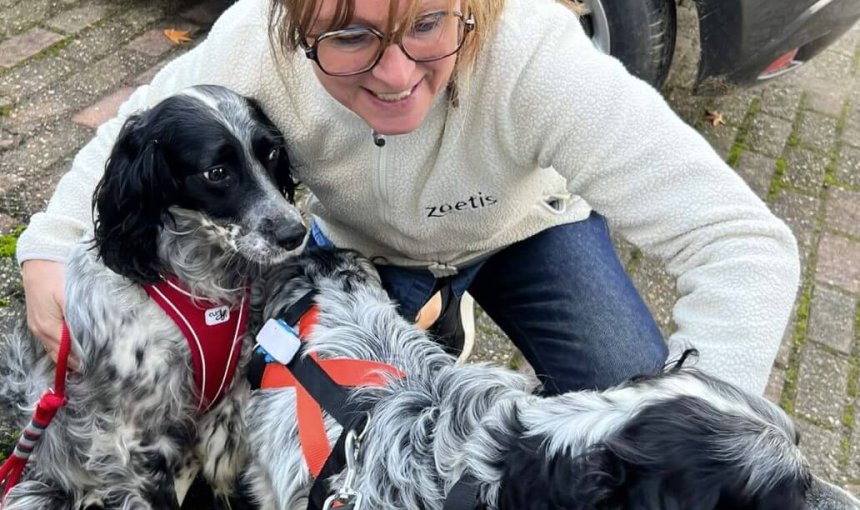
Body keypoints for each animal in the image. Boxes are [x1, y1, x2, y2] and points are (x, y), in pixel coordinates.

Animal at [0, 85, 308, 508]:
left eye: (272, 153)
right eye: (217, 173)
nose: (295, 233)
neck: (202, 287)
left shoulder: (228, 404)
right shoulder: (136, 437)